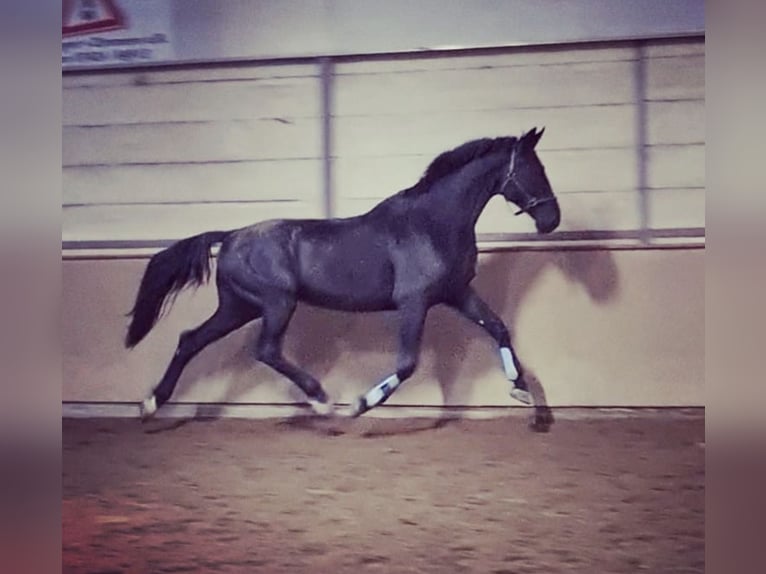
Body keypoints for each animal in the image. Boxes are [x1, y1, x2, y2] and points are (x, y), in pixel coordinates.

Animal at [125, 127, 560, 422]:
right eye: (532, 169)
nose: (551, 220)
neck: (433, 222)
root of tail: (231, 236)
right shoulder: (414, 302)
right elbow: (407, 363)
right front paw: (359, 404)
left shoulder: (456, 292)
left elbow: (499, 327)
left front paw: (522, 392)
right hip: (276, 302)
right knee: (265, 350)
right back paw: (321, 399)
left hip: (238, 307)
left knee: (190, 340)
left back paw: (151, 403)